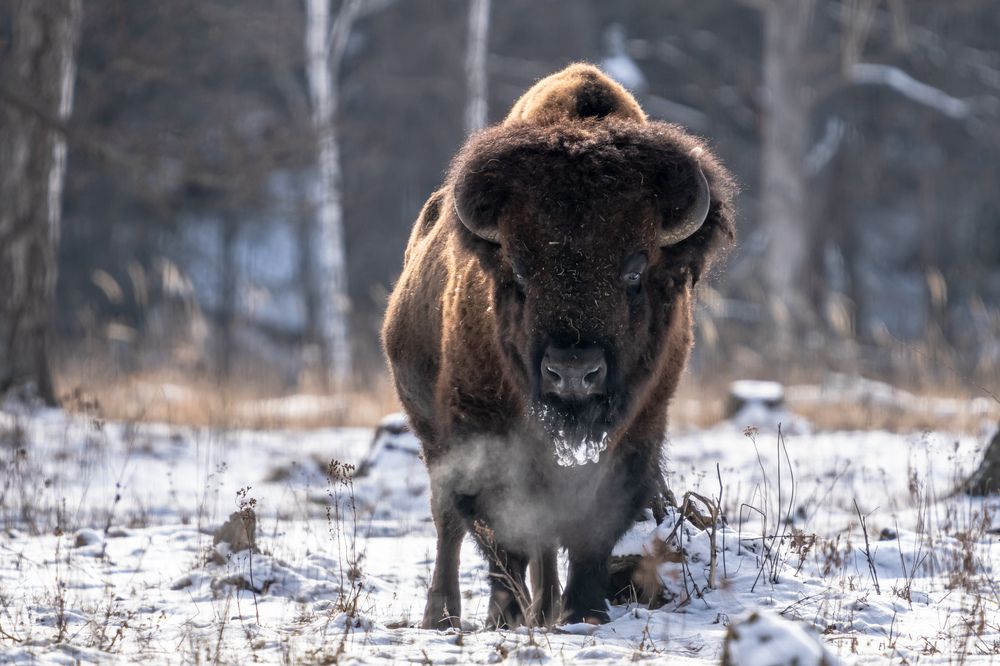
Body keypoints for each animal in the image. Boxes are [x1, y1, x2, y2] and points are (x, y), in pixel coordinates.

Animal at [382, 63, 735, 629]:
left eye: (634, 269)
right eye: (521, 269)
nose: (572, 371)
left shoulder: (638, 429)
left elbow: (592, 522)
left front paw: (584, 610)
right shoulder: (485, 433)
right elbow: (503, 530)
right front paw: (506, 616)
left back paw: (543, 607)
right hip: (432, 437)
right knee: (450, 522)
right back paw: (447, 616)